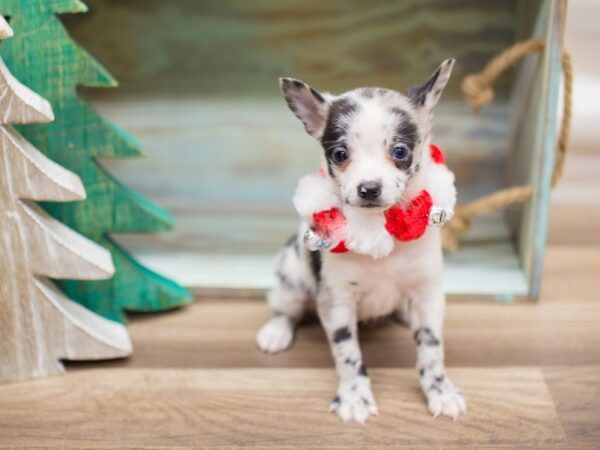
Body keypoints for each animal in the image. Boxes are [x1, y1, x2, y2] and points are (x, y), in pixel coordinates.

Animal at [255, 59, 466, 422]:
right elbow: (348, 354)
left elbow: (431, 349)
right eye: (340, 154)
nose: (368, 188)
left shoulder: (426, 294)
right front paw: (354, 396)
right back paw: (276, 332)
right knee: (284, 309)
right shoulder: (337, 303)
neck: (381, 229)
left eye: (400, 151)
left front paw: (441, 390)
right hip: (292, 285)